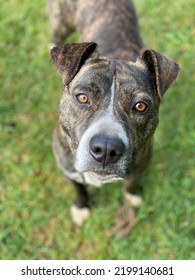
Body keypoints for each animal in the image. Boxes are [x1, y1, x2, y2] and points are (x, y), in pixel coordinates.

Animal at [47, 0, 180, 238]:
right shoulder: (67, 168)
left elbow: (131, 185)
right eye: (82, 97)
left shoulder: (141, 163)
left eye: (140, 106)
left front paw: (132, 198)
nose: (107, 149)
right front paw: (81, 208)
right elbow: (79, 188)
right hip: (60, 23)